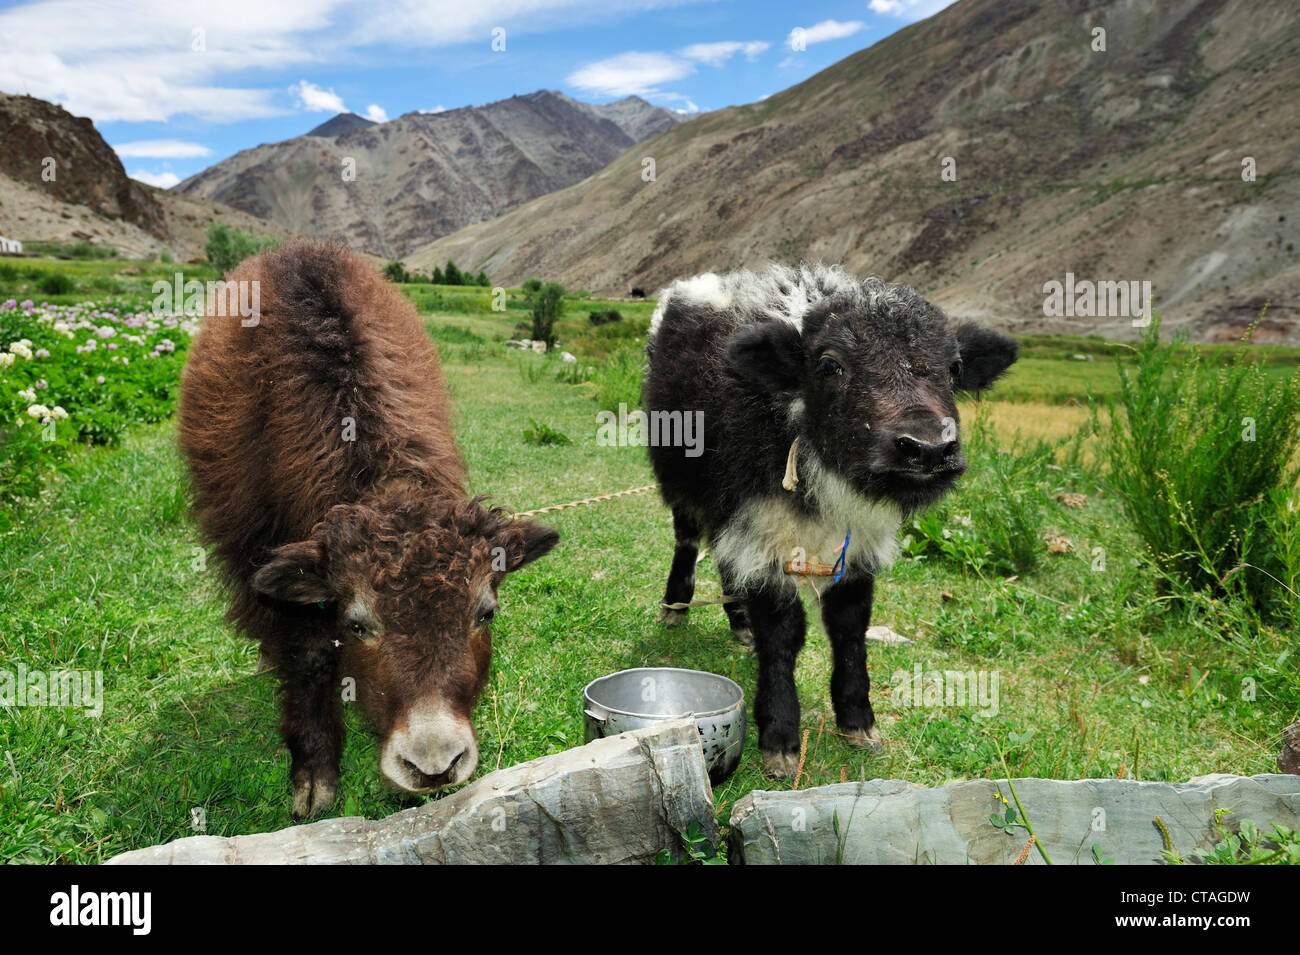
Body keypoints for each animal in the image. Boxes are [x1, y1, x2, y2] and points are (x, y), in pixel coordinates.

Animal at [644, 265, 1019, 779]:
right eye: (829, 365)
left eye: (954, 368)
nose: (927, 449)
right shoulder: (762, 532)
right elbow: (783, 634)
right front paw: (780, 739)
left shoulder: (856, 547)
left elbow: (849, 626)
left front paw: (859, 722)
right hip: (682, 480)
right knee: (687, 541)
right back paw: (675, 608)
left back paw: (739, 624)